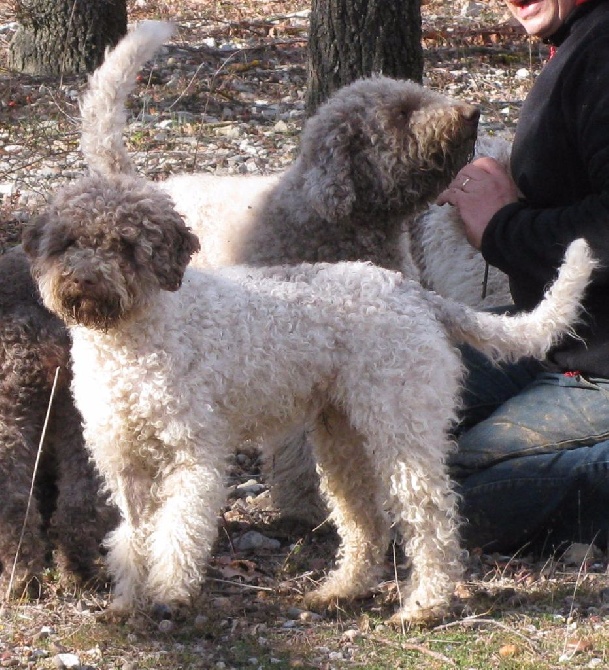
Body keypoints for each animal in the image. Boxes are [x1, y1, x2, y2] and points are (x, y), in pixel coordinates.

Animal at [25, 22, 592, 632]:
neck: (133, 339)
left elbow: (178, 532)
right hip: (342, 435)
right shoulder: (123, 463)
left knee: (431, 518)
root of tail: (411, 292)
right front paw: (128, 602)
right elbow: (132, 537)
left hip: (401, 426)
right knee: (366, 520)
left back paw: (425, 604)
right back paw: (341, 589)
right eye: (68, 242)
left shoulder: (193, 456)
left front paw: (170, 596)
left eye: (126, 243)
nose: (83, 281)